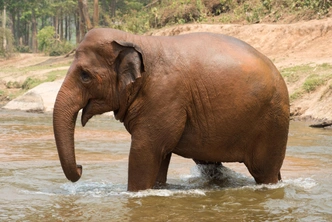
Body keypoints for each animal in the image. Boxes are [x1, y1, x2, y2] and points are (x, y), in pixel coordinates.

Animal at [53, 27, 290, 191]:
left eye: (85, 76)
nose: (81, 168)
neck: (136, 39)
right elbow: (160, 155)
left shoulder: (164, 95)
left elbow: (144, 151)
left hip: (273, 121)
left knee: (264, 171)